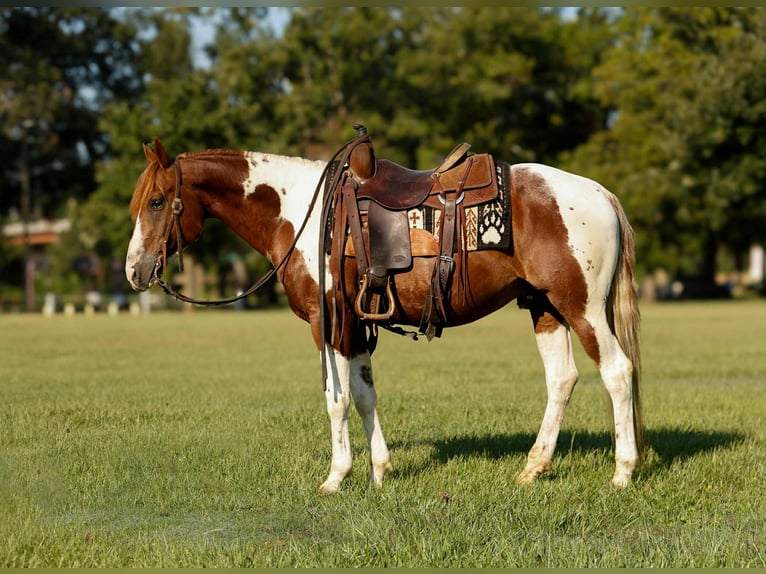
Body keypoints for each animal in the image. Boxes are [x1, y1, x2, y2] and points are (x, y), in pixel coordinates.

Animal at [125, 135, 643, 493]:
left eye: (157, 201)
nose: (134, 269)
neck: (300, 213)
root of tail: (600, 194)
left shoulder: (328, 322)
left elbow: (336, 399)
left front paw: (336, 477)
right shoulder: (356, 326)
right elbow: (364, 394)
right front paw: (379, 470)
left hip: (582, 307)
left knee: (617, 372)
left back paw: (622, 472)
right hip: (544, 306)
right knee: (562, 379)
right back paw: (533, 469)